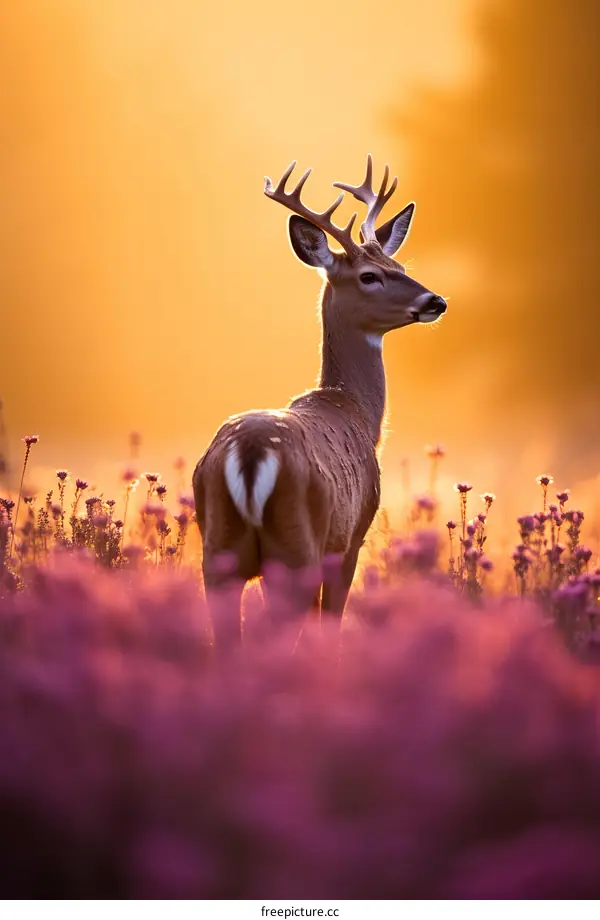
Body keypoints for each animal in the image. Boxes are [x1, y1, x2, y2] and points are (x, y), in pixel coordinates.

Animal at [193, 156, 447, 646]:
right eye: (369, 276)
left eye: (398, 262)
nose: (436, 301)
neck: (354, 409)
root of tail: (249, 455)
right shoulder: (351, 538)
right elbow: (331, 626)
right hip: (296, 549)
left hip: (218, 552)